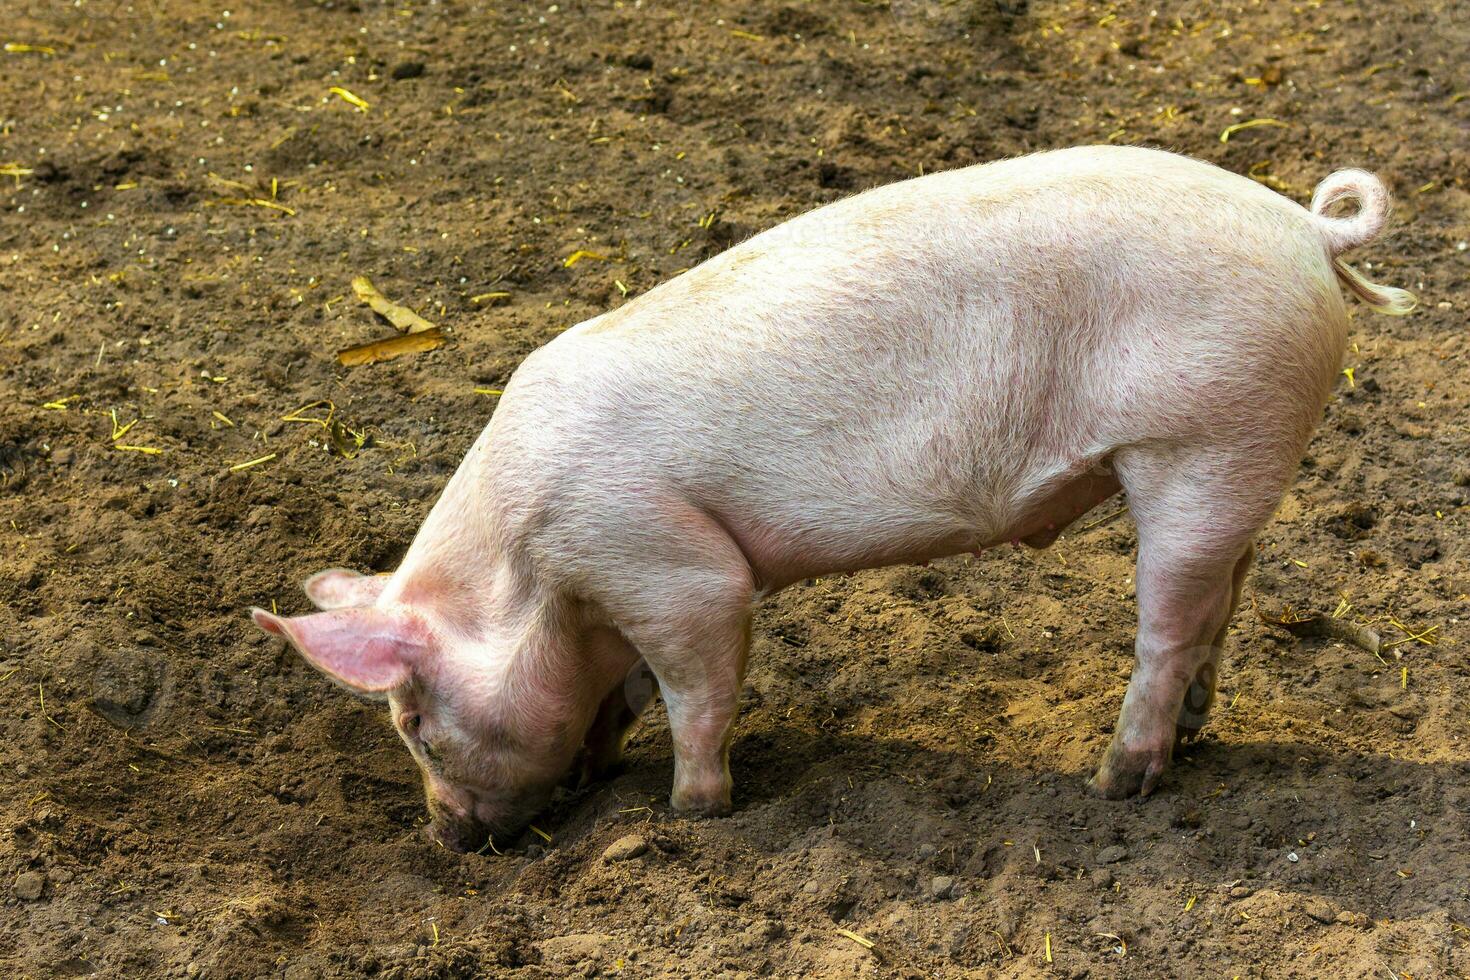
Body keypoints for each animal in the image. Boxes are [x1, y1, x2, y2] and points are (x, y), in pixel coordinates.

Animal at [249, 145, 1411, 852]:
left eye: (414, 721)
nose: (447, 838)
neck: (536, 579)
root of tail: (1306, 231)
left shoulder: (670, 564)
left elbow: (697, 688)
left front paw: (693, 812)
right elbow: (626, 689)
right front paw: (602, 765)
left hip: (1202, 438)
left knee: (1168, 627)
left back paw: (1113, 782)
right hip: (1242, 456)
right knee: (1223, 599)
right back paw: (1193, 741)